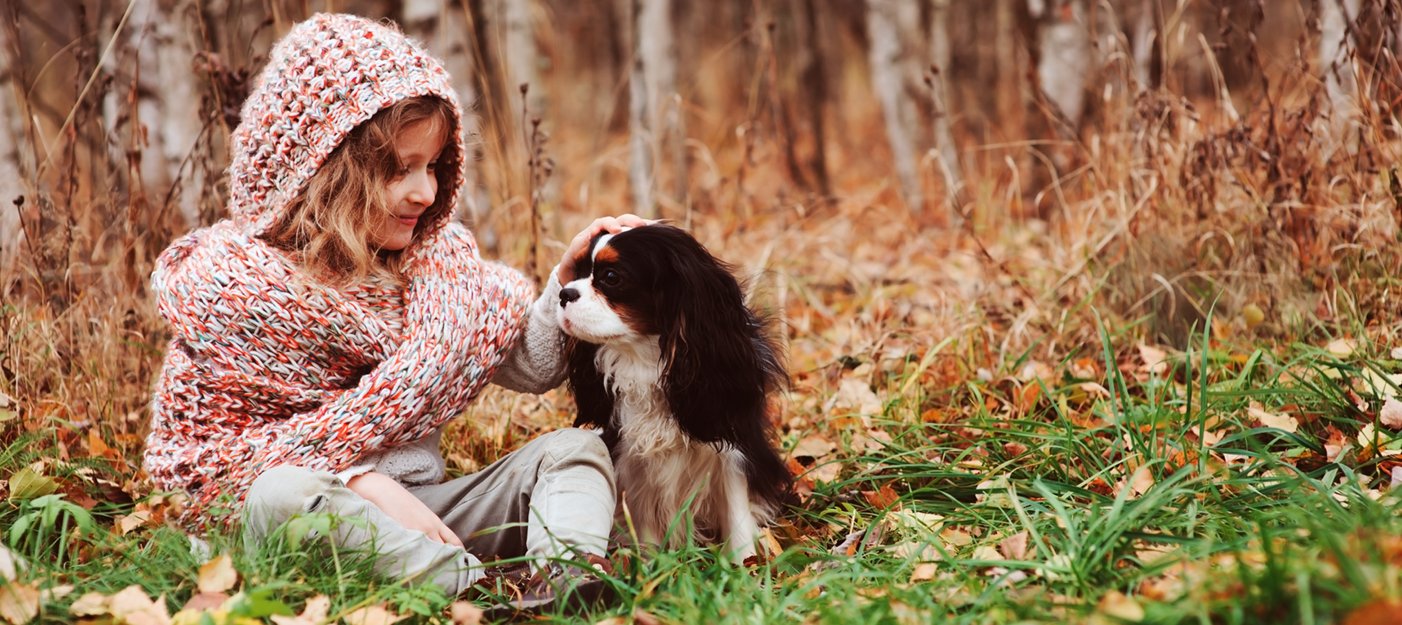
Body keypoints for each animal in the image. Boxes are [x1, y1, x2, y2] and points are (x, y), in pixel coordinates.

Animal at [552, 222, 790, 560]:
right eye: (579, 271)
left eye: (611, 277)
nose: (564, 292)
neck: (648, 361)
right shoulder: (633, 460)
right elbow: (645, 526)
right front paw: (655, 565)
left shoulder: (731, 447)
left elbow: (737, 521)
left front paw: (746, 566)